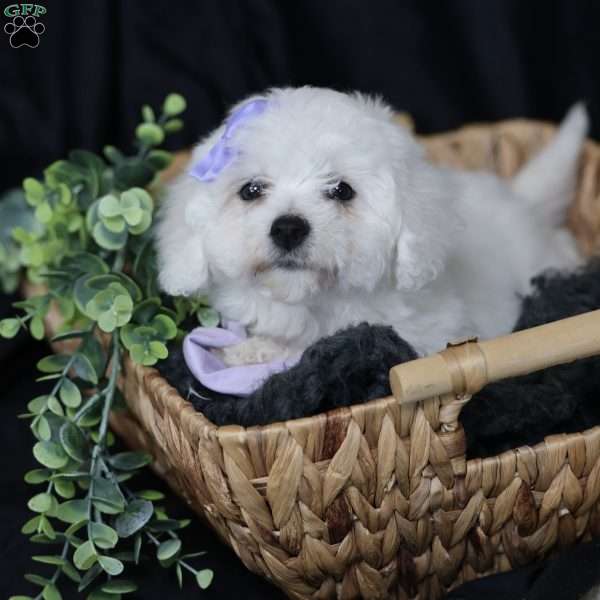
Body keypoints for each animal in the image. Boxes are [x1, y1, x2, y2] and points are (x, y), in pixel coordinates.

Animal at [155, 85, 584, 360]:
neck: (318, 306)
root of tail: (521, 201)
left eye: (342, 190)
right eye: (252, 190)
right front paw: (251, 350)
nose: (288, 228)